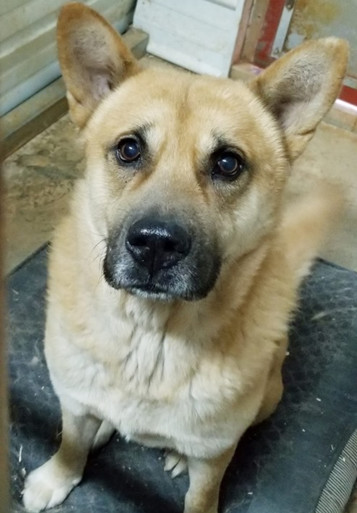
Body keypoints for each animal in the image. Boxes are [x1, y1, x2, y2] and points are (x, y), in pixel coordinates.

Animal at [21, 4, 344, 512]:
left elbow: (202, 493)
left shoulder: (214, 456)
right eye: (129, 149)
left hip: (268, 397)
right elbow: (72, 441)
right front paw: (59, 475)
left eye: (228, 163)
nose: (155, 245)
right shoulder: (72, 401)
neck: (150, 337)